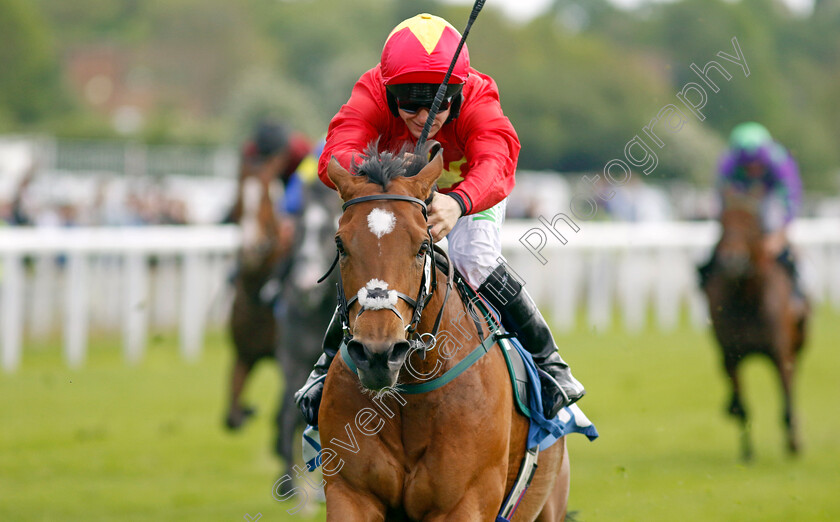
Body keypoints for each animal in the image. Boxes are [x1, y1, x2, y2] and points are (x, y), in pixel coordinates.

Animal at [320, 144, 572, 520]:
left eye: (423, 245)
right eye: (340, 245)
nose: (378, 354)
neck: (408, 393)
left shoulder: (464, 501)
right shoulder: (350, 493)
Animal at [700, 195, 812, 460]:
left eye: (752, 227)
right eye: (721, 224)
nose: (731, 259)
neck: (747, 299)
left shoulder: (780, 354)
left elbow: (787, 405)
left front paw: (793, 446)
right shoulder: (731, 356)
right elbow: (743, 408)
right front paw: (747, 453)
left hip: (799, 344)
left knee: (794, 384)